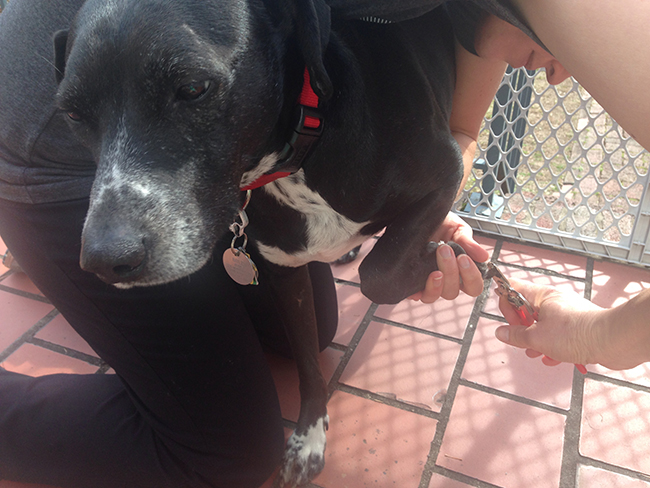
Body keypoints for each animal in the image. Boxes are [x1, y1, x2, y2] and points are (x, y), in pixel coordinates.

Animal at [53, 1, 464, 486]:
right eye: (72, 115)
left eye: (192, 87)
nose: (103, 260)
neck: (297, 159)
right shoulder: (283, 272)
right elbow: (307, 358)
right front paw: (308, 438)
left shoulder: (447, 172)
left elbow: (379, 274)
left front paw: (438, 258)